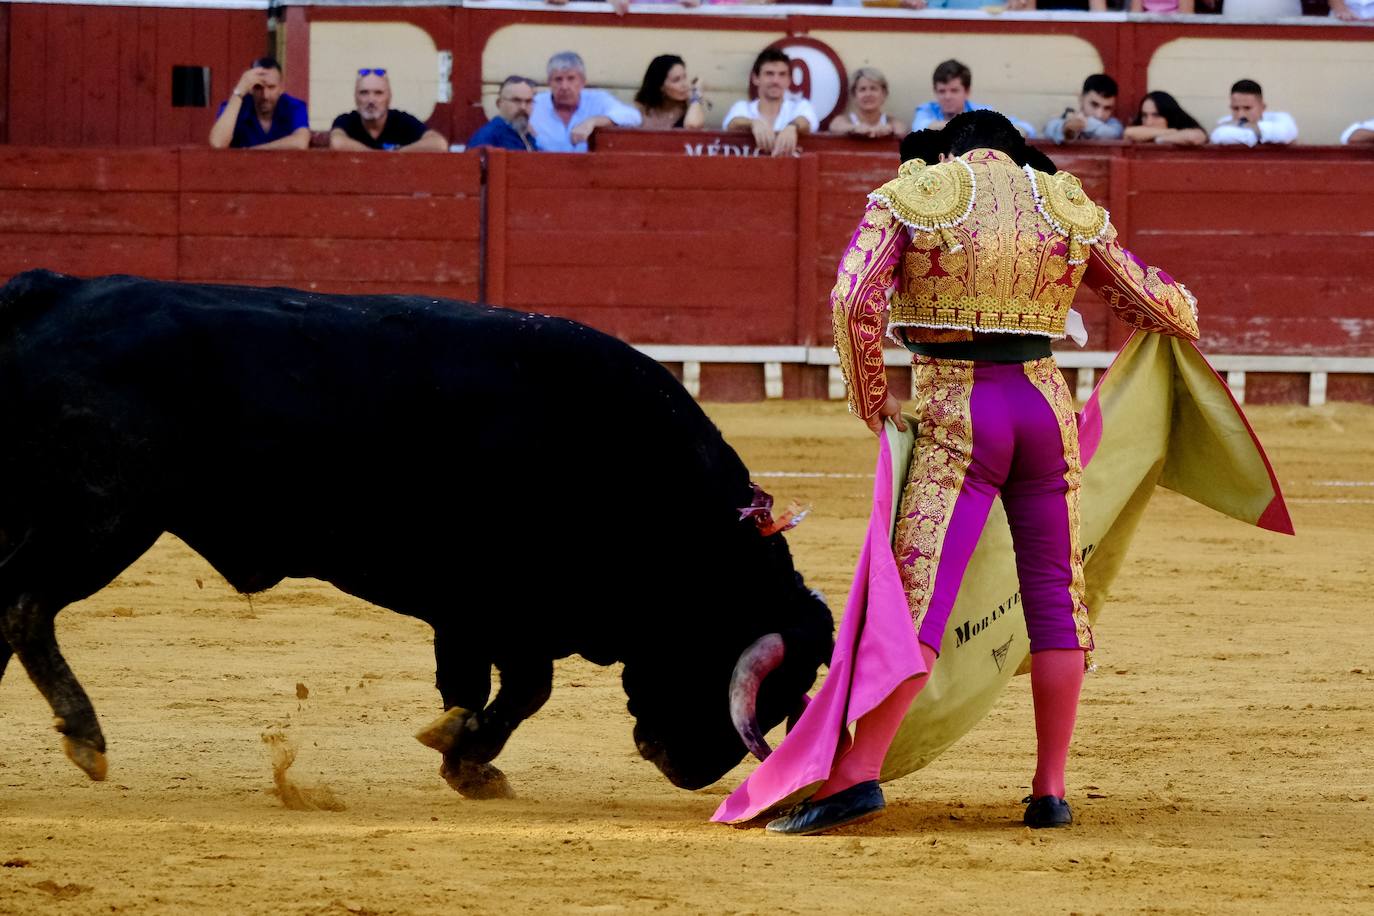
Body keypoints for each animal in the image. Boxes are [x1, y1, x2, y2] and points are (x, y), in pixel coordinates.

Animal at [0, 269, 829, 796]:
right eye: (752, 680)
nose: (696, 771)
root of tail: (52, 292)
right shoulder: (499, 606)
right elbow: (525, 687)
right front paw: (468, 757)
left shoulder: (473, 612)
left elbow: (483, 685)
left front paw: (464, 752)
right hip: (104, 516)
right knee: (24, 605)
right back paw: (86, 736)